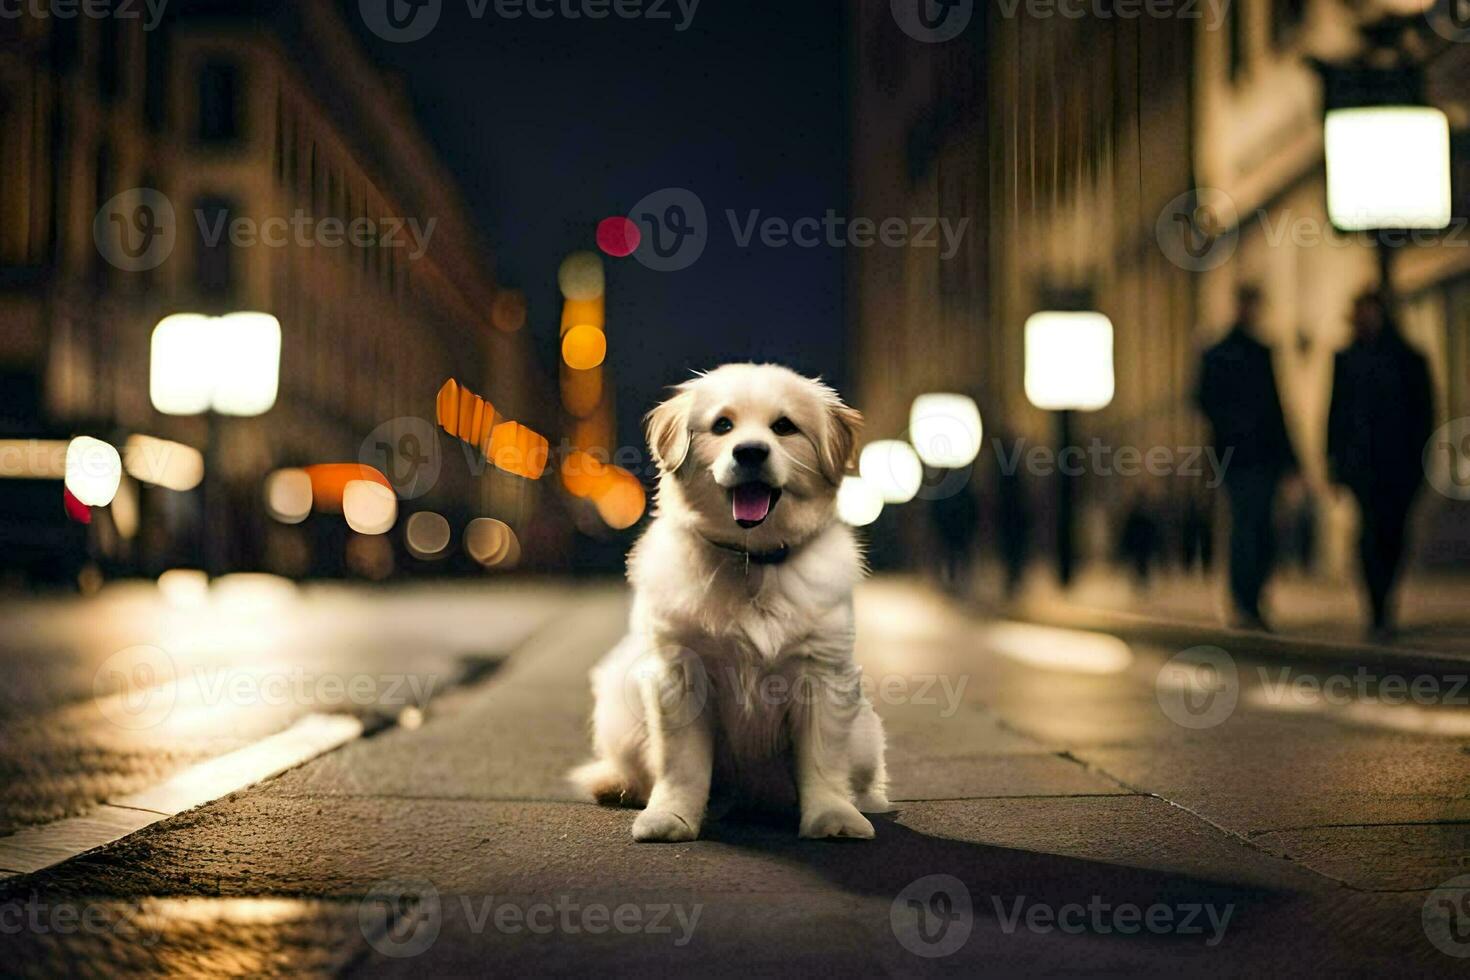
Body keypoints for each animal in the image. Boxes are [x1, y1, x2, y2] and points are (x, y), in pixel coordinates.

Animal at [570, 364, 893, 840]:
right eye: (723, 425)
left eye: (784, 427)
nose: (751, 452)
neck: (750, 560)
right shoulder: (679, 674)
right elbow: (682, 765)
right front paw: (671, 817)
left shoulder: (823, 674)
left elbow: (822, 760)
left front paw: (833, 816)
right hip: (618, 701)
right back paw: (617, 785)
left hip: (867, 732)